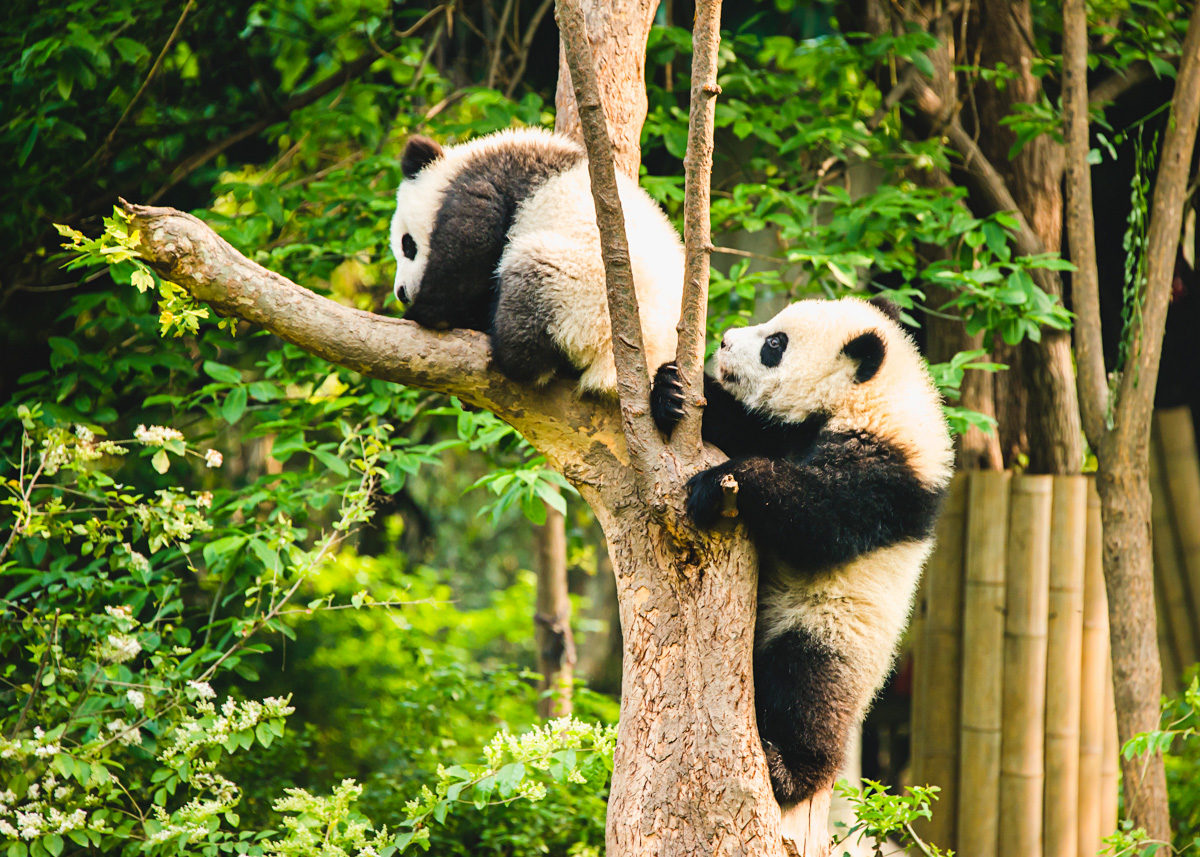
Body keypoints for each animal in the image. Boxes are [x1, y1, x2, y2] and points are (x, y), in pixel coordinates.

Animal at [391, 126, 686, 393]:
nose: (401, 293)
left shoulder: (484, 185)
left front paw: (424, 313)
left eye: (408, 244)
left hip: (583, 297)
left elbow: (467, 248)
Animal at [652, 295, 950, 820]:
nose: (724, 341)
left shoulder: (888, 476)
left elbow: (819, 520)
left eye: (775, 344)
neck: (874, 399)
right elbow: (745, 428)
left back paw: (791, 770)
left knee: (808, 691)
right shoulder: (790, 434)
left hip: (831, 629)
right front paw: (671, 390)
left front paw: (716, 484)